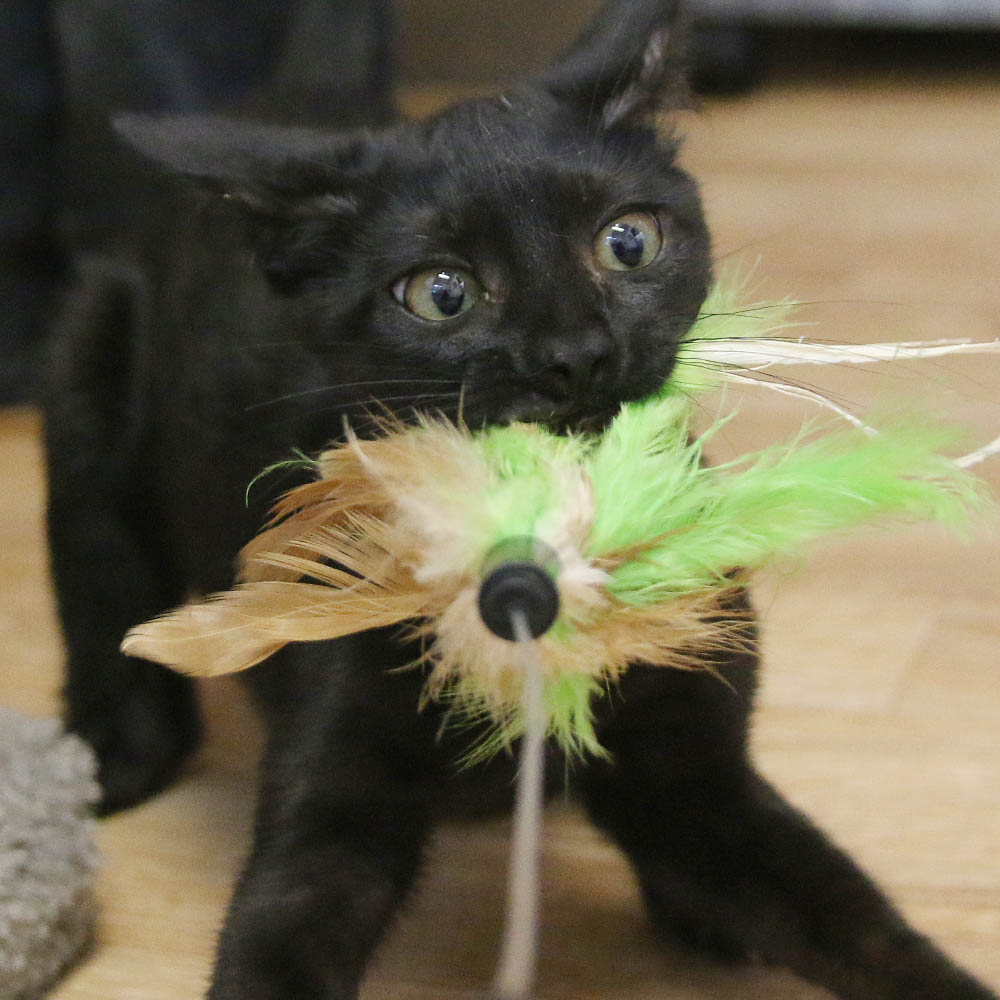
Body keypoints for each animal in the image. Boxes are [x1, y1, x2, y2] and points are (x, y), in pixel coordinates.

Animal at [43, 1, 996, 1000]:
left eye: (628, 241)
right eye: (441, 293)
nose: (574, 354)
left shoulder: (699, 788)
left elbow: (856, 919)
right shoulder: (332, 807)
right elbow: (274, 941)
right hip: (85, 348)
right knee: (93, 552)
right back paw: (117, 744)